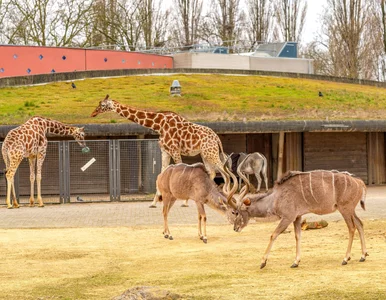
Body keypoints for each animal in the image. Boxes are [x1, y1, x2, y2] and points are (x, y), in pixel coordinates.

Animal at [90, 95, 229, 207]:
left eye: (102, 105)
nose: (93, 113)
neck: (158, 125)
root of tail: (216, 137)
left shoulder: (174, 150)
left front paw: (183, 201)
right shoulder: (165, 151)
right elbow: (160, 173)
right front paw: (154, 202)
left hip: (211, 152)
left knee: (224, 171)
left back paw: (226, 195)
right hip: (205, 154)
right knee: (212, 172)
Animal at [229, 170, 368, 268]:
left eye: (236, 212)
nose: (235, 228)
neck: (275, 199)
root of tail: (359, 182)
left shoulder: (288, 217)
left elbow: (273, 235)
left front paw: (263, 262)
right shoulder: (297, 217)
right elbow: (298, 236)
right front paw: (296, 262)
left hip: (345, 209)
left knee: (352, 227)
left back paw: (345, 259)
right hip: (350, 210)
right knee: (360, 224)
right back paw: (363, 256)